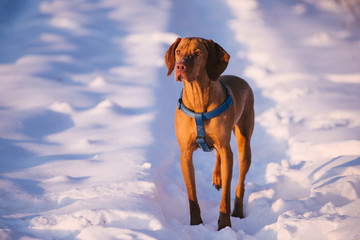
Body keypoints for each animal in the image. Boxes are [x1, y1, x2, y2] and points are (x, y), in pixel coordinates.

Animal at [165, 37, 255, 231]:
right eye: (178, 51)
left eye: (198, 53)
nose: (180, 66)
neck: (198, 98)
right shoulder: (185, 155)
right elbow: (192, 194)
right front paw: (195, 223)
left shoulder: (227, 151)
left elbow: (226, 196)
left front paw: (224, 224)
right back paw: (217, 176)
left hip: (244, 143)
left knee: (240, 182)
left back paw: (237, 211)